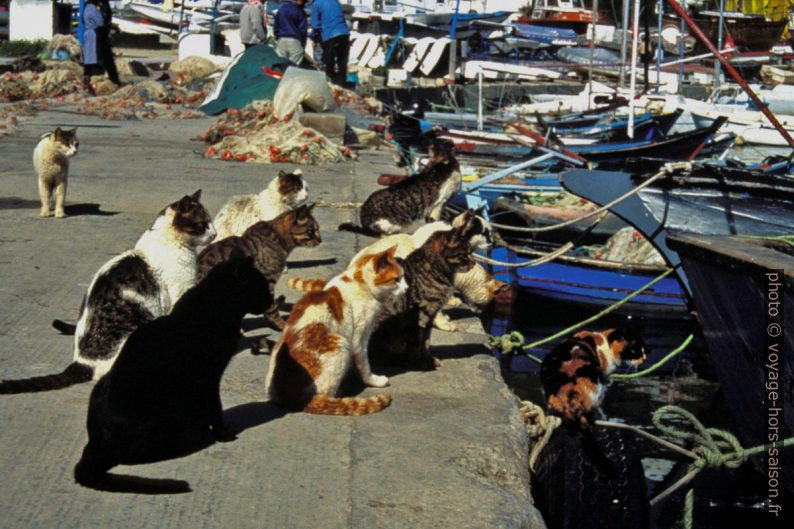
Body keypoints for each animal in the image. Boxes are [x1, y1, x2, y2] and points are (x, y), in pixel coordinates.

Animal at [262, 245, 406, 414]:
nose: (407, 288)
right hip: (340, 343)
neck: (359, 281)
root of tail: (291, 398)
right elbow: (365, 365)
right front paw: (373, 380)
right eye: (396, 279)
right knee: (323, 399)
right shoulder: (359, 339)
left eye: (403, 277)